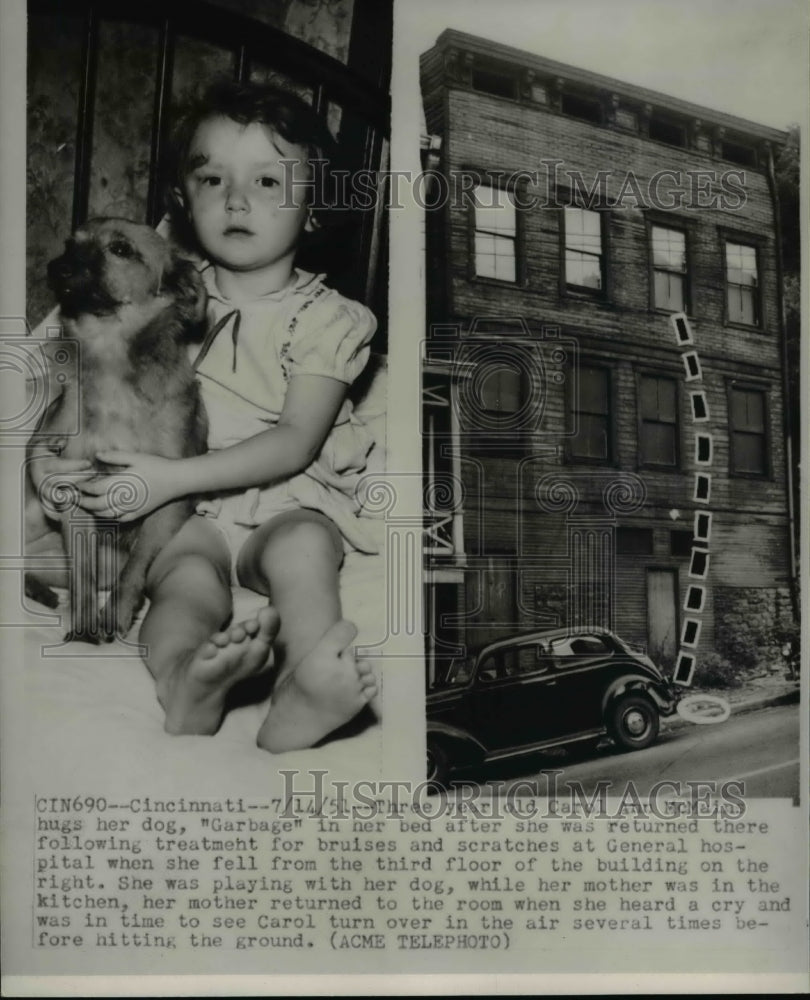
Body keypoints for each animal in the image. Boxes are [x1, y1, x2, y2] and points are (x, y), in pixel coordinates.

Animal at [25, 218, 208, 640]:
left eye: (121, 250)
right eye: (68, 244)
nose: (56, 267)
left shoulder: (166, 500)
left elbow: (135, 565)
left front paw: (117, 613)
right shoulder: (73, 492)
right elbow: (82, 575)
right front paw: (84, 626)